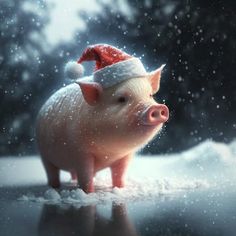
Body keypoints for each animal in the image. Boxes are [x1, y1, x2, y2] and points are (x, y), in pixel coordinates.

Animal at [36, 43, 169, 192]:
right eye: (121, 99)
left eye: (150, 95)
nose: (156, 108)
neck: (109, 152)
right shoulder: (80, 152)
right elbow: (86, 176)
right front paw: (88, 193)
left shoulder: (125, 156)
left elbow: (119, 174)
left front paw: (120, 189)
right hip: (43, 154)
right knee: (52, 172)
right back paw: (54, 187)